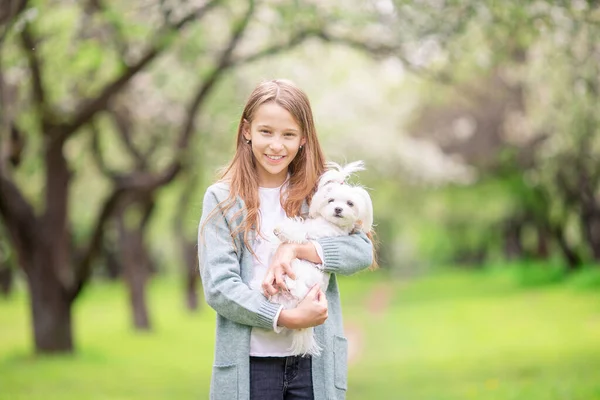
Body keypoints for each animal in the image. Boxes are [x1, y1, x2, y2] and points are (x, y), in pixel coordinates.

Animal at [255, 162, 372, 356]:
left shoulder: (312, 236)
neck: (328, 223)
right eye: (331, 200)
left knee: (294, 285)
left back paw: (288, 284)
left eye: (350, 203)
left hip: (300, 281)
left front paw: (282, 231)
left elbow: (299, 234)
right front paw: (276, 236)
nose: (338, 209)